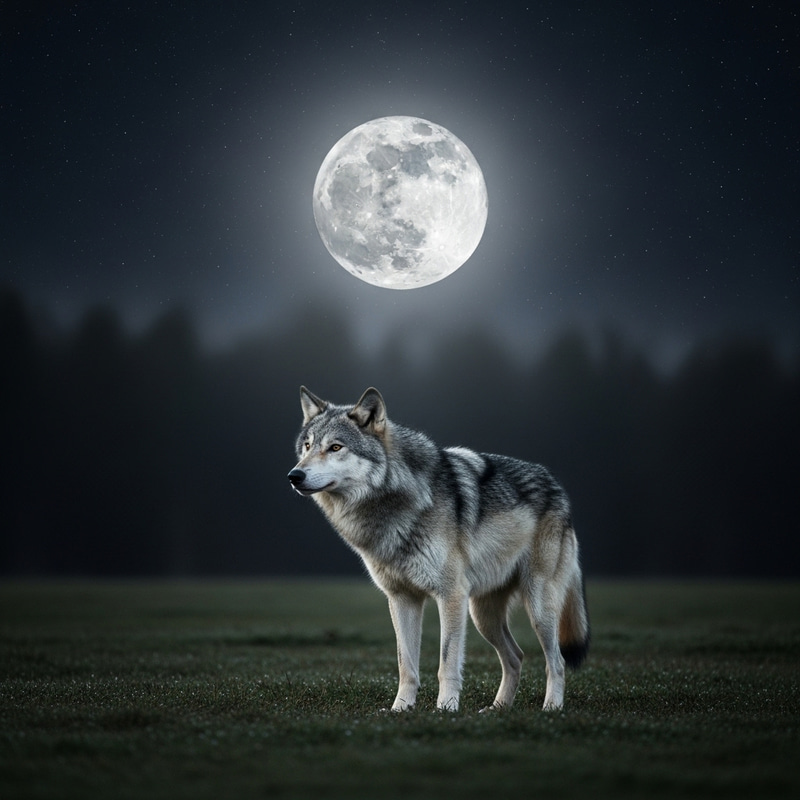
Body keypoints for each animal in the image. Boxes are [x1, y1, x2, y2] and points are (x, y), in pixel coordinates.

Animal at [287, 386, 589, 712]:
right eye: (307, 446)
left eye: (335, 447)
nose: (294, 476)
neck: (395, 503)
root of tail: (557, 487)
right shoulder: (402, 599)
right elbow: (406, 665)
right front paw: (400, 709)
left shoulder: (451, 595)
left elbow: (446, 663)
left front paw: (445, 709)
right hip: (483, 616)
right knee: (516, 657)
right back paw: (497, 708)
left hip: (537, 608)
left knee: (556, 662)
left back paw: (551, 708)